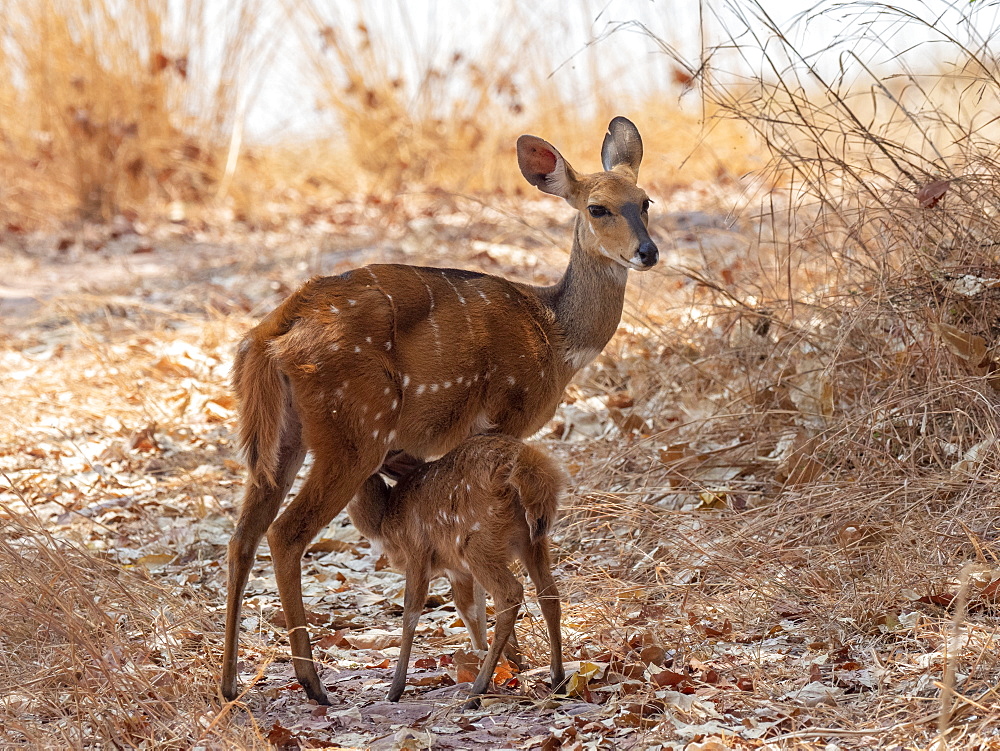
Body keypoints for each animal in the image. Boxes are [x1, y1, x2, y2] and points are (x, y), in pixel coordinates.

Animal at [346, 438, 564, 708]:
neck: (386, 522)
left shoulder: (416, 550)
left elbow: (411, 612)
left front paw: (394, 690)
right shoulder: (455, 569)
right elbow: (467, 609)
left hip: (476, 543)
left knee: (510, 593)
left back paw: (476, 692)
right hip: (533, 542)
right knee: (549, 593)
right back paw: (557, 680)